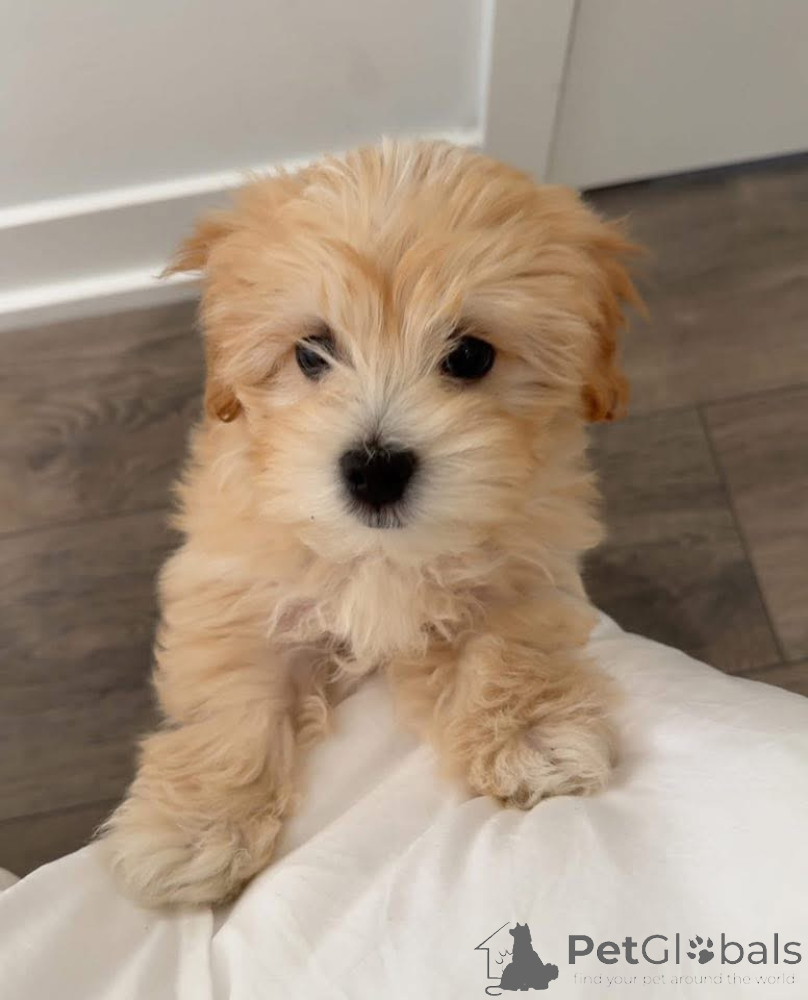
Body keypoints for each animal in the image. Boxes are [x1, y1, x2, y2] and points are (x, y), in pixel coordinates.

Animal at [99, 140, 639, 906]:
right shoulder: (234, 584)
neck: (381, 554)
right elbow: (231, 698)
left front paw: (532, 736)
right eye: (311, 351)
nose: (375, 469)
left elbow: (507, 643)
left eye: (470, 355)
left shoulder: (526, 561)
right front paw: (195, 829)